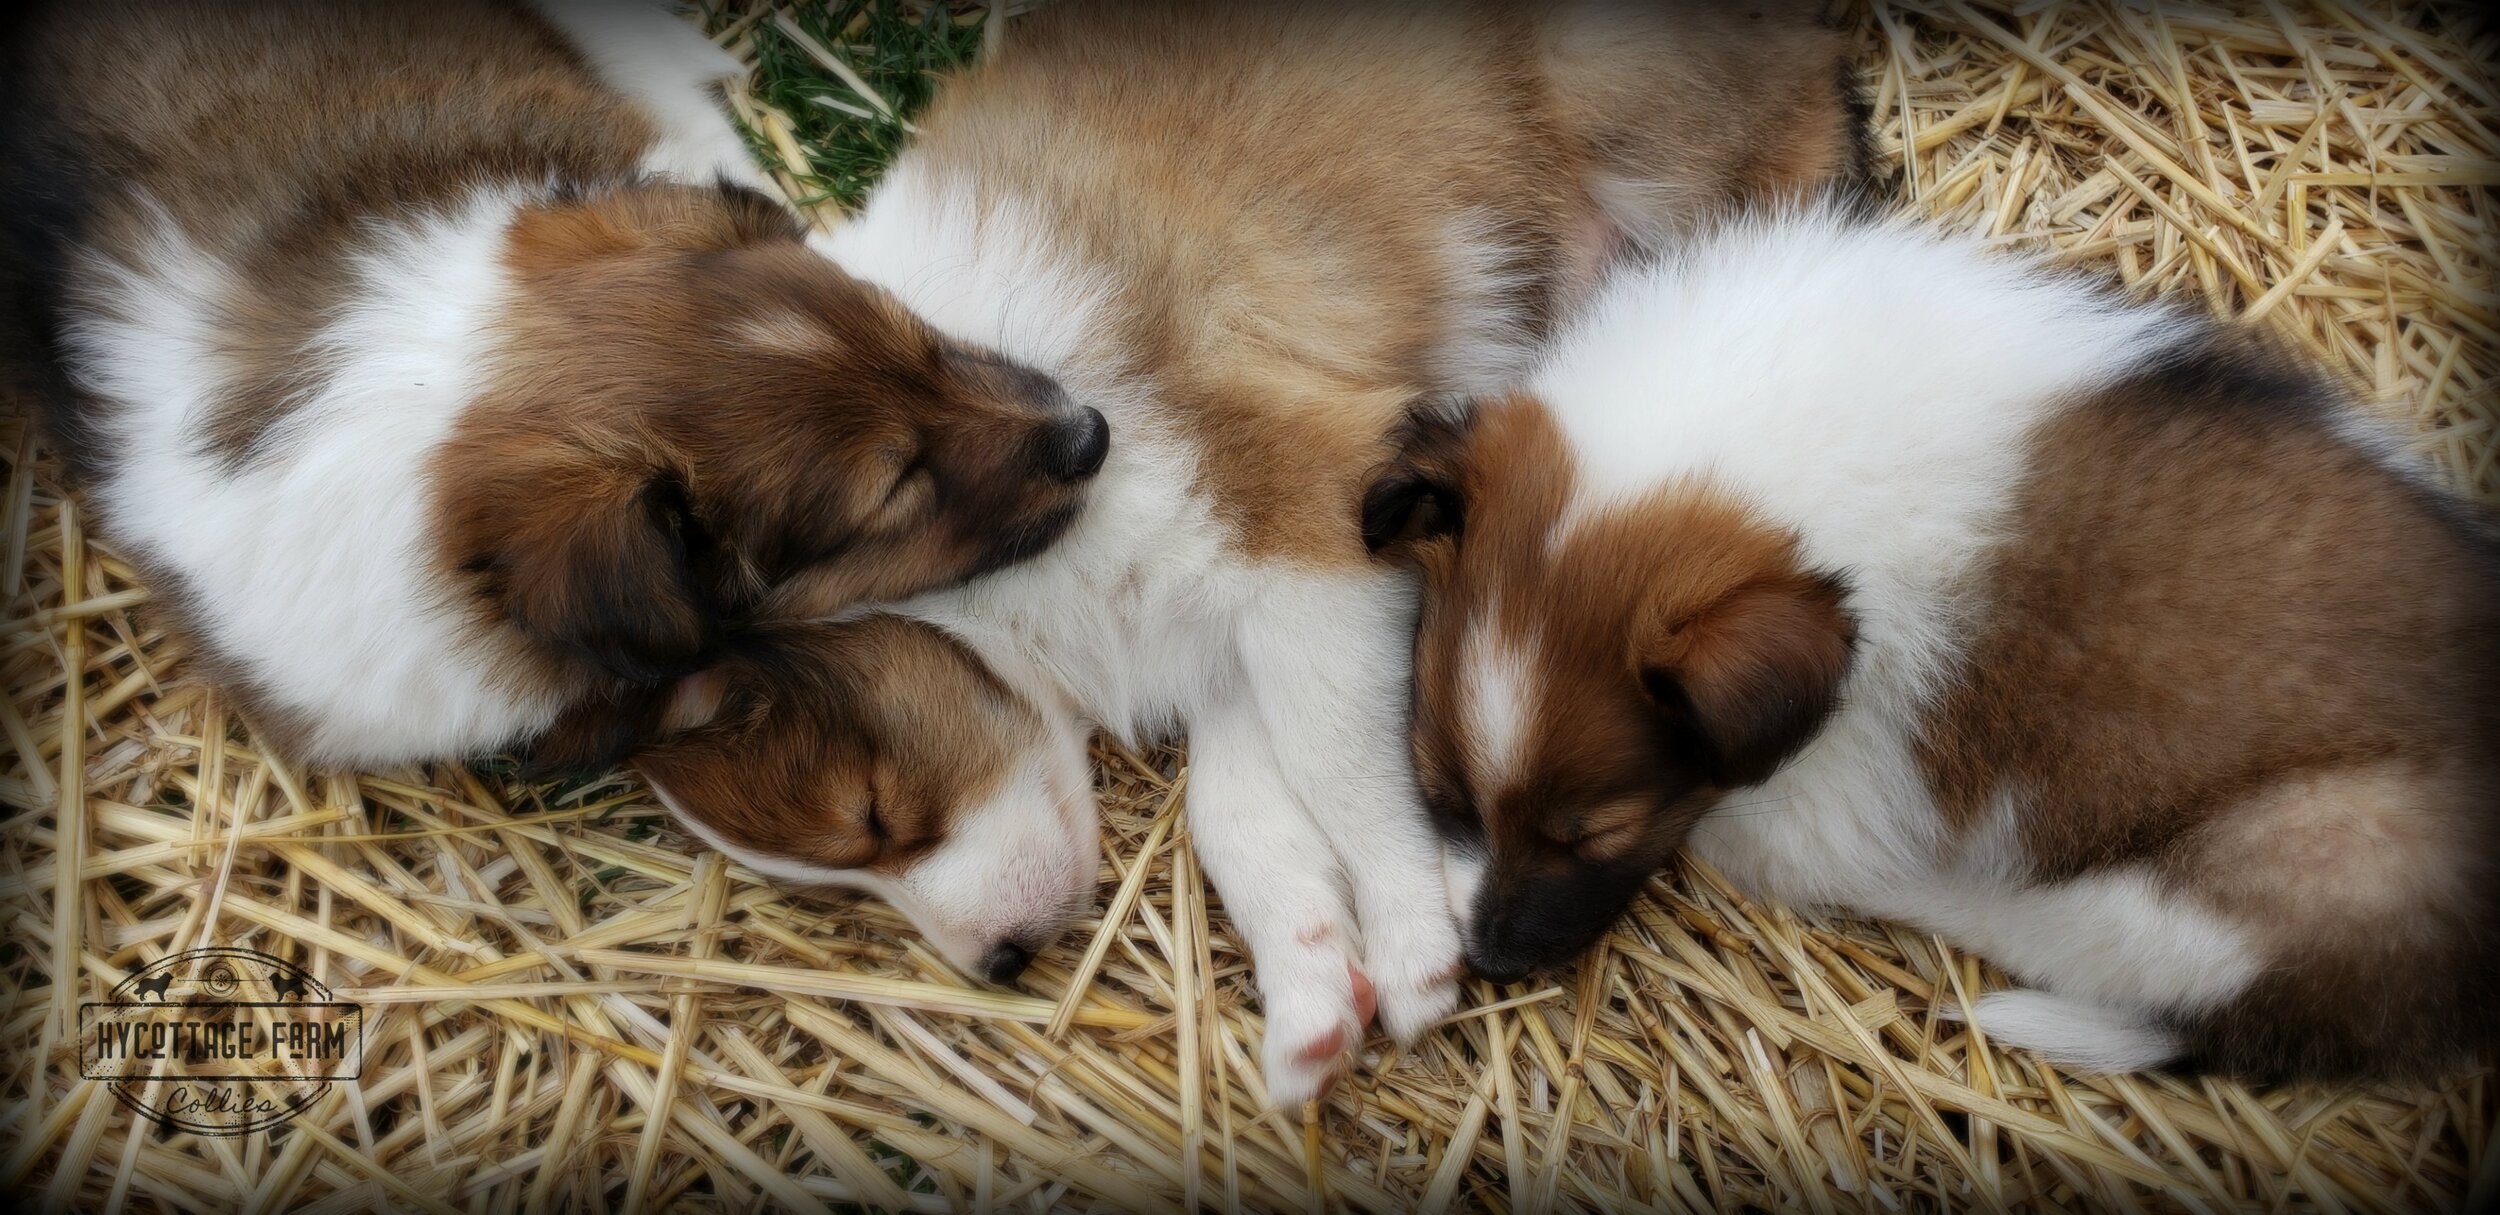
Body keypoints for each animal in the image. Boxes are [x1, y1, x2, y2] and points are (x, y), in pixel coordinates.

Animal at [580, 0, 1880, 1105]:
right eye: (845, 863)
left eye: (872, 815)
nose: (999, 963)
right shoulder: (1231, 634)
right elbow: (1244, 811)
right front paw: (1313, 995)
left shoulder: (1311, 530)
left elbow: (1343, 768)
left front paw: (1411, 944)